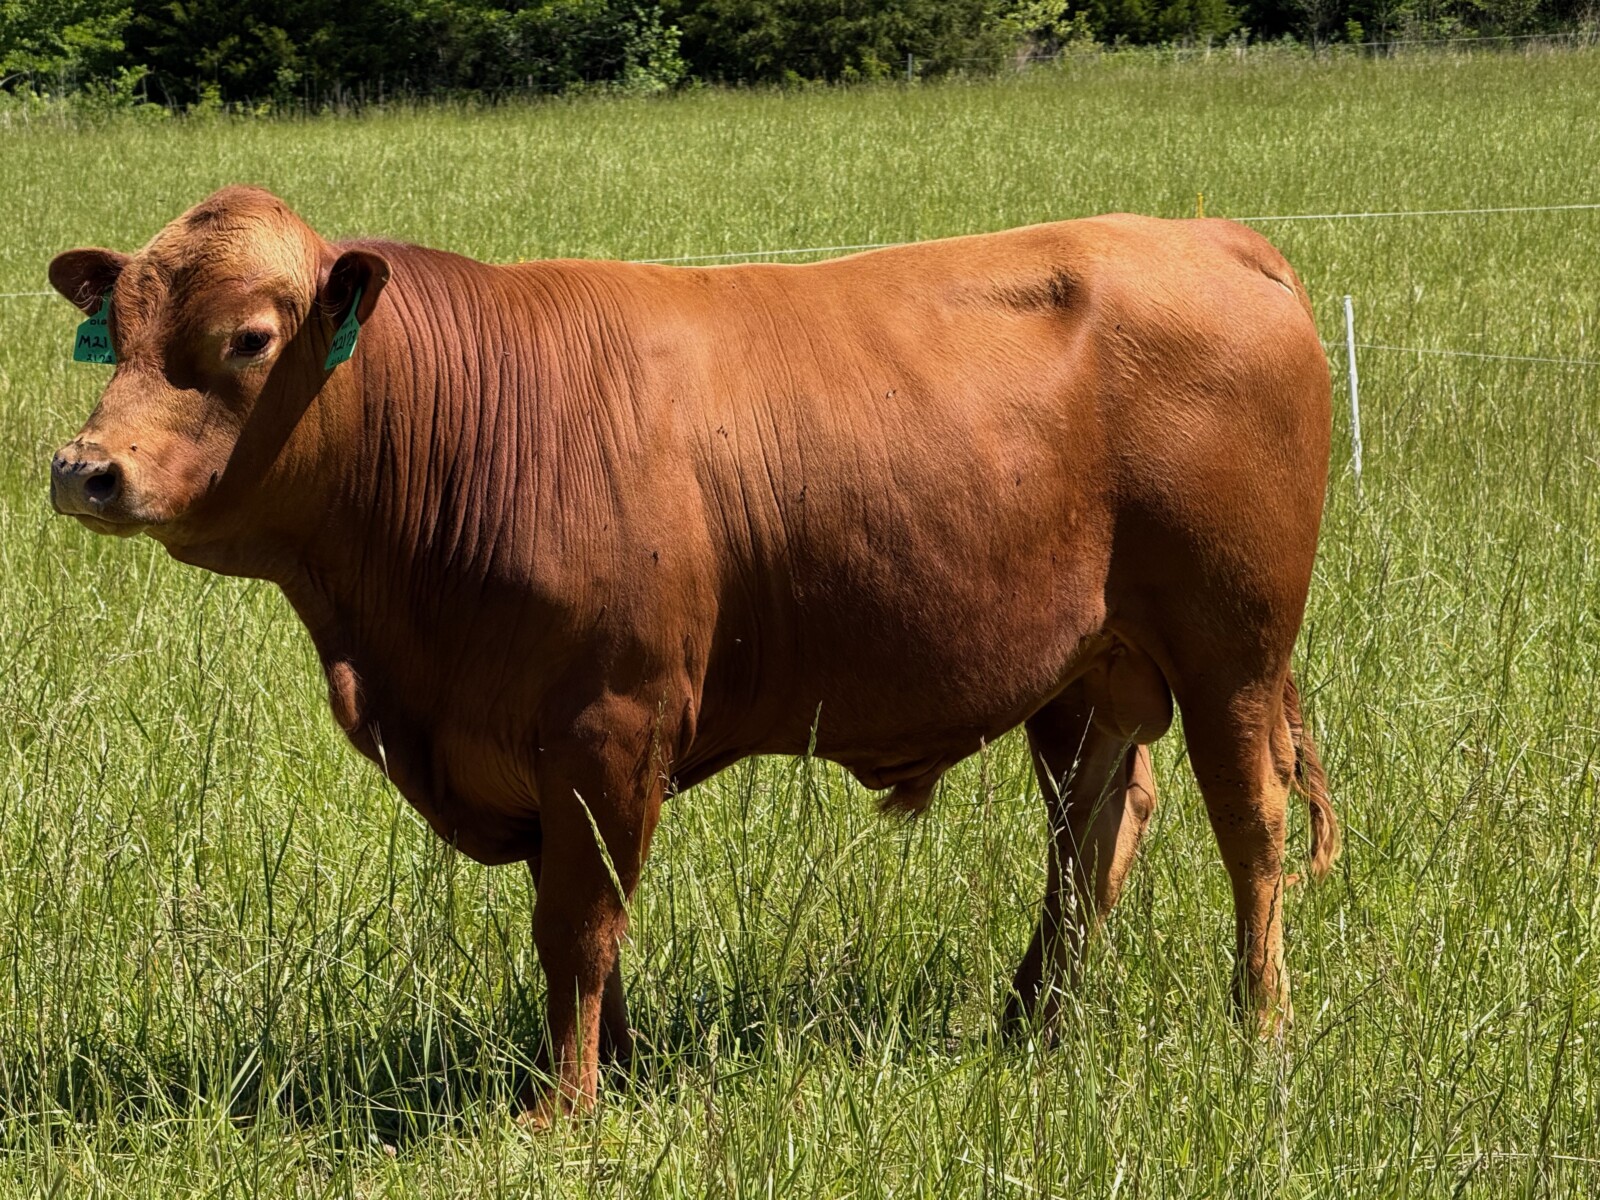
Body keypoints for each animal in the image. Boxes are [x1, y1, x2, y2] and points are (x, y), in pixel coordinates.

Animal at [47, 186, 1339, 1124]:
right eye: (115, 336)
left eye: (249, 339)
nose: (83, 469)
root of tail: (1203, 236)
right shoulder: (540, 749)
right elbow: (586, 926)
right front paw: (609, 1073)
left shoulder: (610, 725)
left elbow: (577, 924)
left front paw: (560, 1110)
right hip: (1085, 670)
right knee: (1092, 834)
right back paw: (1032, 1026)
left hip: (1232, 644)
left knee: (1249, 824)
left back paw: (1261, 1027)